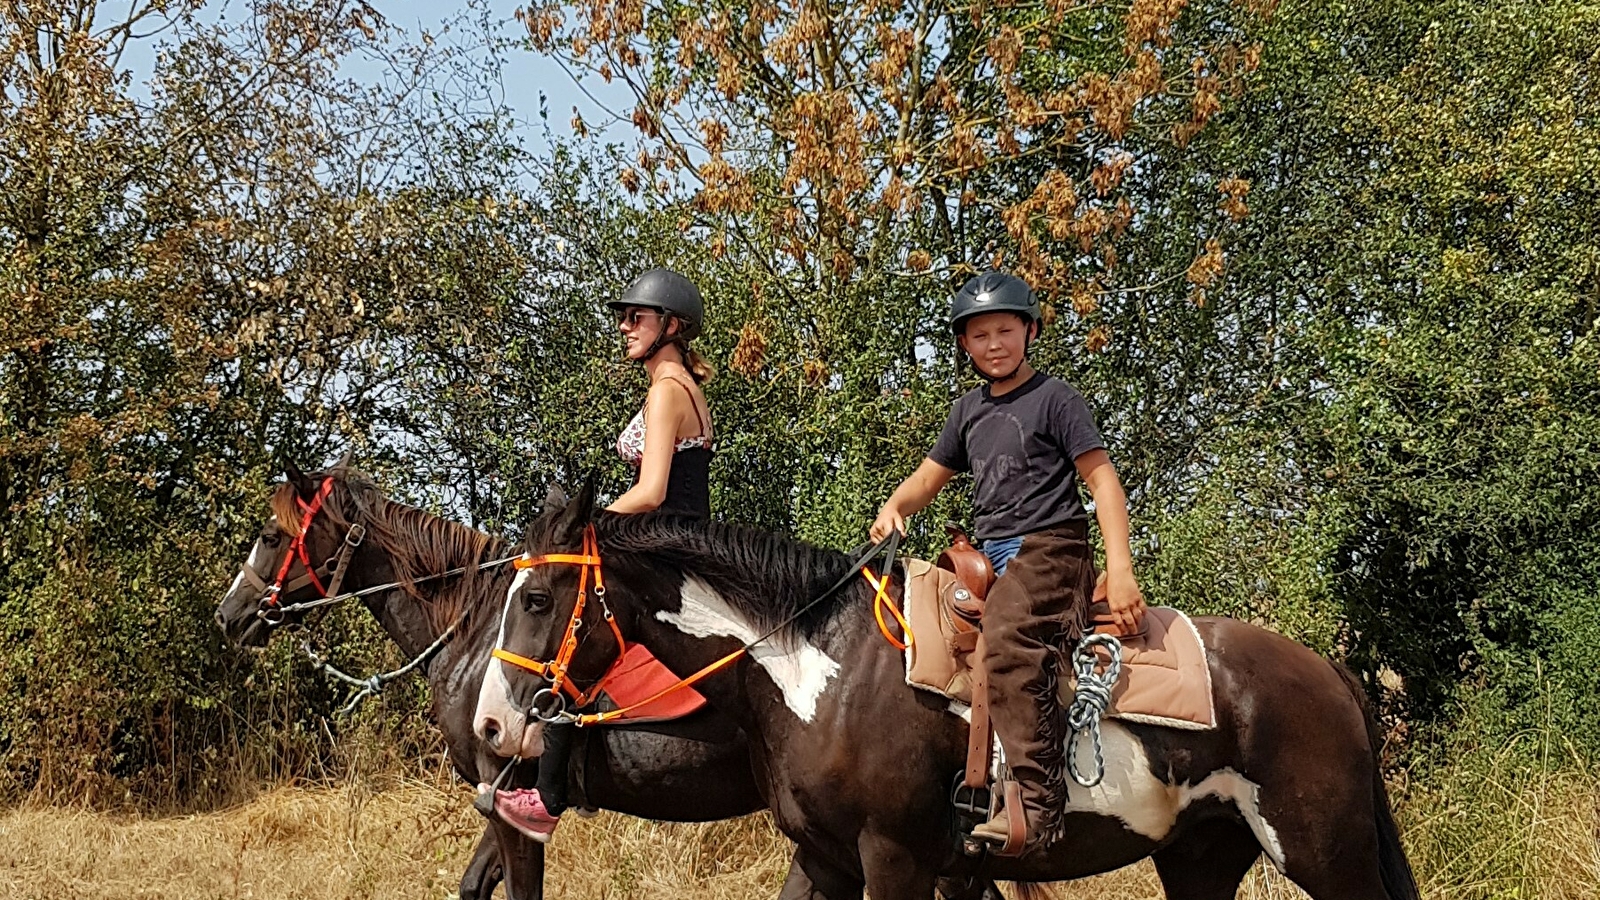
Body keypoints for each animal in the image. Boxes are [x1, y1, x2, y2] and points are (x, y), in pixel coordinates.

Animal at [467, 480, 1420, 896]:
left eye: (539, 598)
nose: (488, 724)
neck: (817, 671)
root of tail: (1331, 674)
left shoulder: (895, 856)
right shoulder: (826, 858)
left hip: (1326, 856)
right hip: (1201, 858)